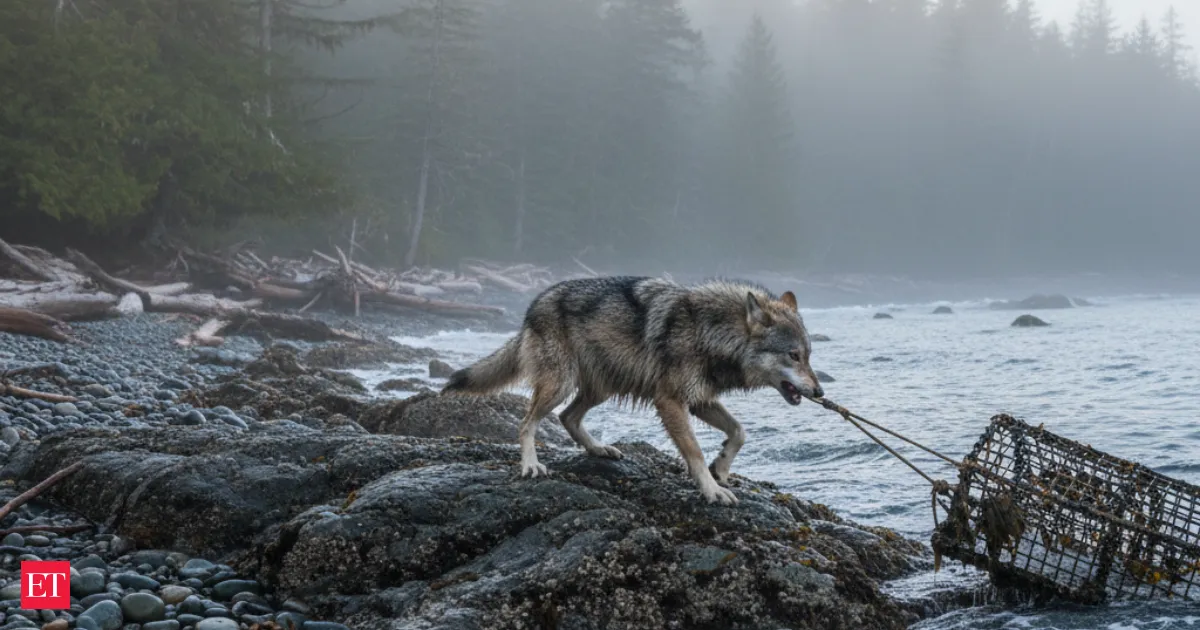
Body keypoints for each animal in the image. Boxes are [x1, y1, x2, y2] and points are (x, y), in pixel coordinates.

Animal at [440, 276, 823, 505]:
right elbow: (695, 453)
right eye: (794, 355)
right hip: (561, 384)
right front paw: (711, 489)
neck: (710, 332)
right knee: (527, 423)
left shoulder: (699, 399)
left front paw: (723, 468)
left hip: (600, 388)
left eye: (808, 355)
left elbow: (740, 432)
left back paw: (599, 449)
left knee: (567, 418)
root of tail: (533, 305)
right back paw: (532, 465)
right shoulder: (670, 402)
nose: (819, 393)